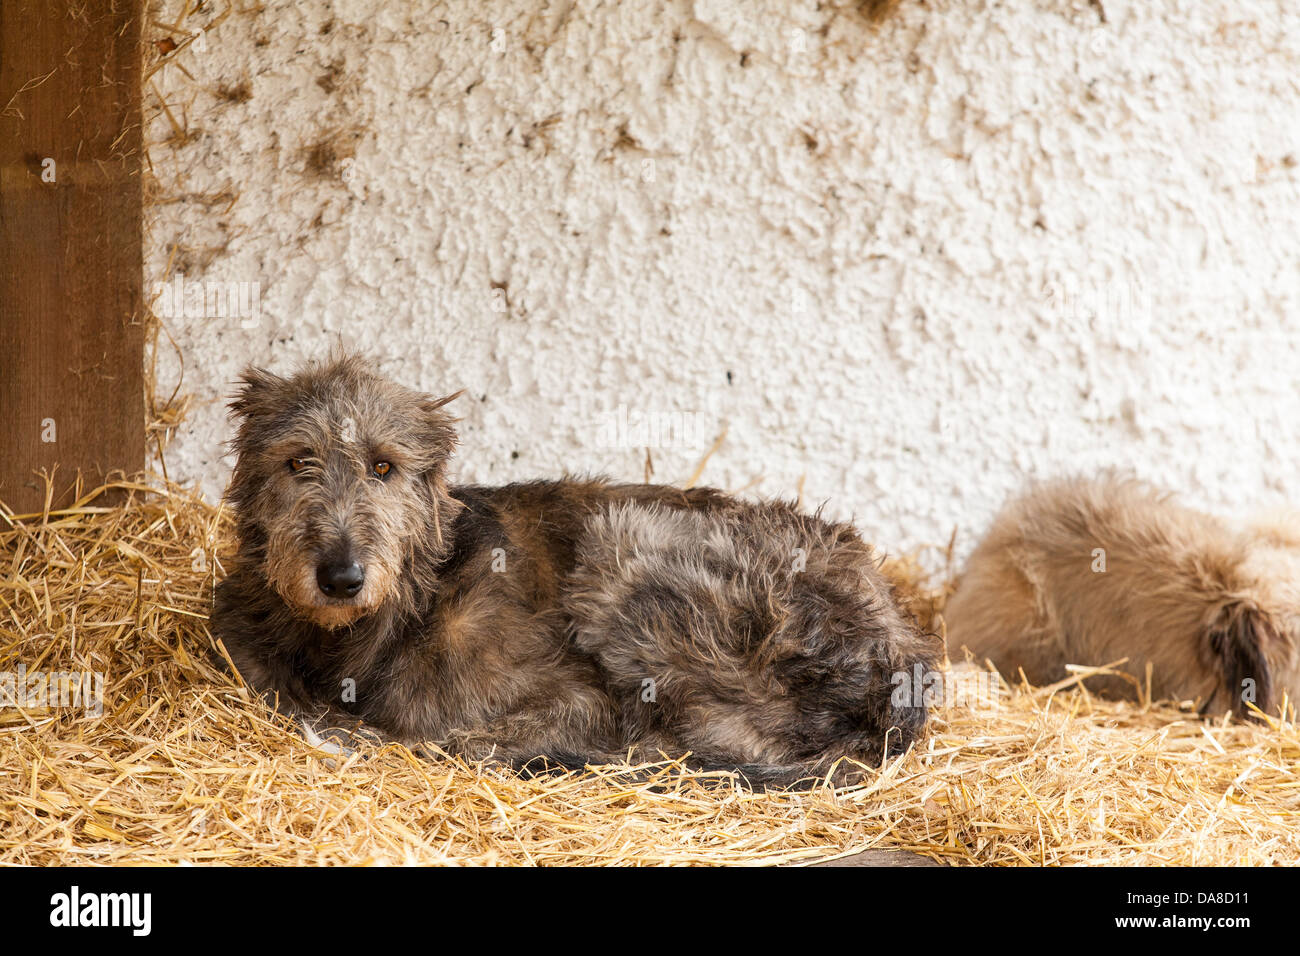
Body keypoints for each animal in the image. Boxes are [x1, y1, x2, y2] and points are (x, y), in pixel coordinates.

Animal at [213, 356, 946, 790]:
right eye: (298, 462)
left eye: (383, 466)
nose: (341, 577)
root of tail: (900, 657)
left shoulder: (580, 701)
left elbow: (456, 739)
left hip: (624, 544)